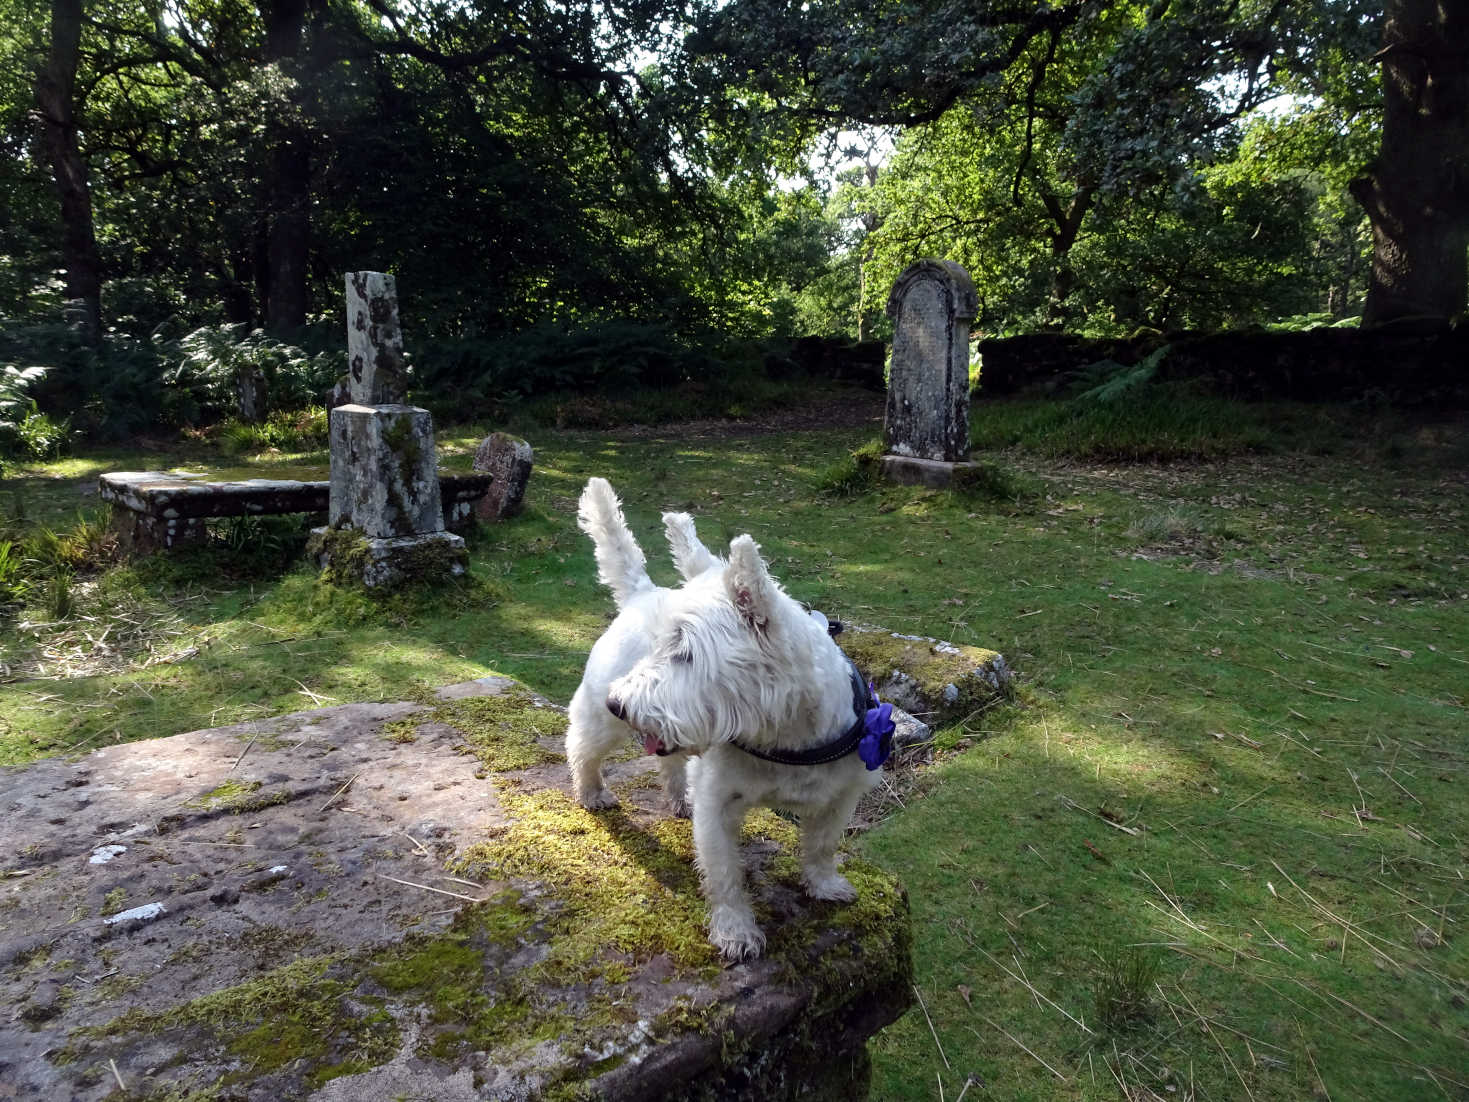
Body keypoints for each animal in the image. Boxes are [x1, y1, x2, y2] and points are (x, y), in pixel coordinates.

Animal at [564, 479, 893, 963]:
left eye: (685, 653)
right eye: (659, 646)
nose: (618, 702)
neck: (785, 737)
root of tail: (643, 593)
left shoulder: (841, 794)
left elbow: (822, 844)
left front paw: (825, 884)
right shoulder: (718, 802)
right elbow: (724, 873)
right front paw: (736, 931)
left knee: (669, 760)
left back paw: (678, 797)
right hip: (600, 720)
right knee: (582, 747)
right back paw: (591, 791)